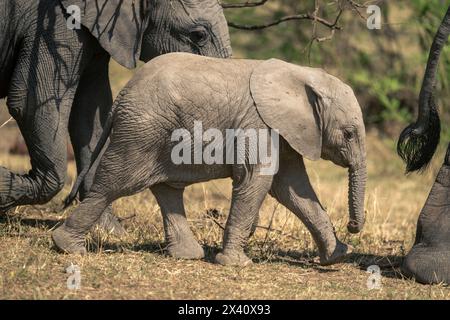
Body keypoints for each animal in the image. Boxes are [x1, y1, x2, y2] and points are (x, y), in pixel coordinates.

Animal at [53, 52, 366, 266]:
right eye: (349, 134)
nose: (352, 226)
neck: (302, 75)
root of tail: (122, 95)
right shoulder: (257, 123)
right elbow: (257, 181)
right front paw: (235, 264)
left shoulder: (284, 131)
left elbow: (293, 189)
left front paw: (336, 257)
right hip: (141, 130)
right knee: (115, 183)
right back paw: (67, 247)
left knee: (166, 188)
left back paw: (187, 256)